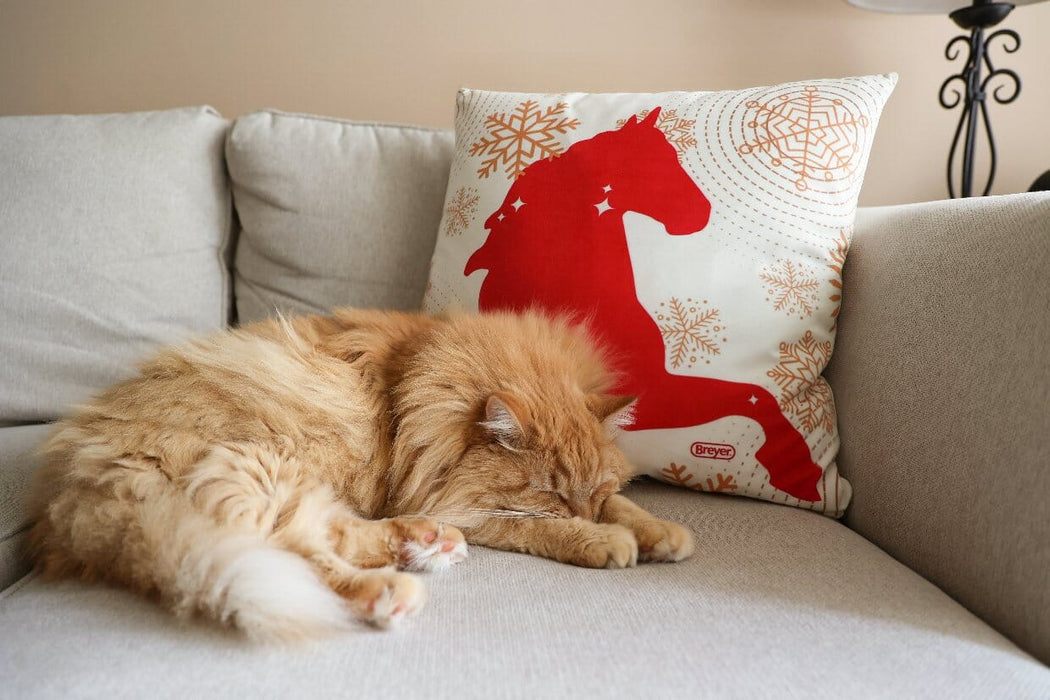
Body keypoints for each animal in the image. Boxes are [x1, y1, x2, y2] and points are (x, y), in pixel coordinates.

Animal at [28, 308, 692, 642]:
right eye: (551, 494)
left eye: (593, 490)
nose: (582, 509)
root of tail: (78, 490)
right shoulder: (459, 504)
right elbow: (539, 529)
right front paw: (605, 542)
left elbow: (628, 510)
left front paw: (663, 532)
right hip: (259, 469)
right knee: (298, 556)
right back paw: (391, 590)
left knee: (333, 536)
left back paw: (424, 545)